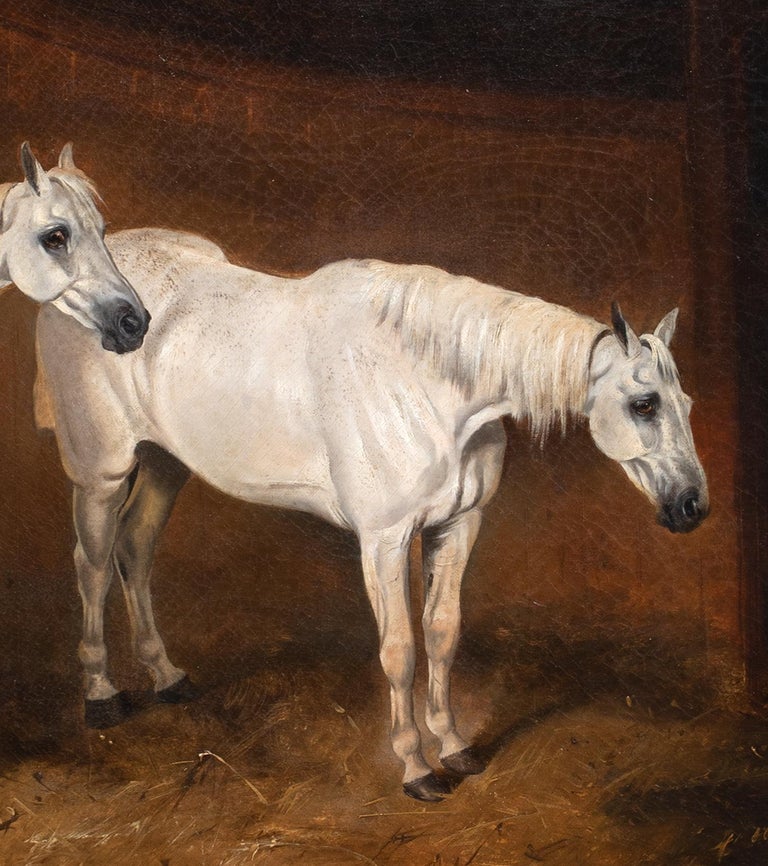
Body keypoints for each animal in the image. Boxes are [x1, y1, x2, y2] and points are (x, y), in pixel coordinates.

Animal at [34, 219, 708, 802]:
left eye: (686, 404)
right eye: (645, 404)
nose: (692, 506)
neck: (424, 381)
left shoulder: (457, 527)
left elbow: (442, 634)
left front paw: (455, 745)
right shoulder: (384, 539)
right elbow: (400, 651)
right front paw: (416, 768)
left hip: (166, 464)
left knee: (135, 548)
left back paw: (168, 677)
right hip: (101, 474)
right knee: (93, 565)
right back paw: (101, 695)